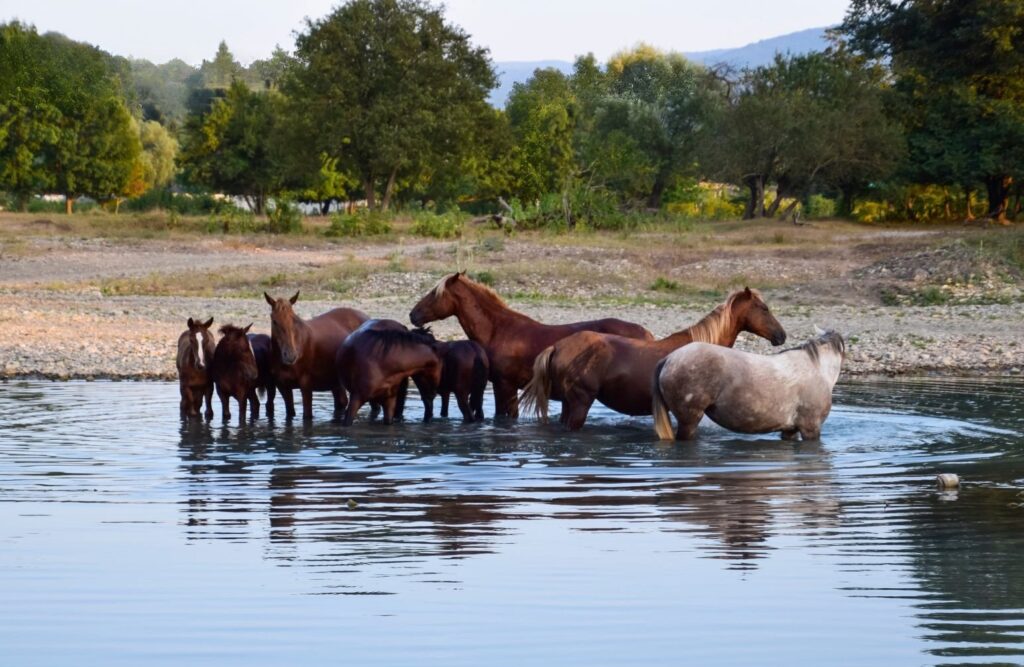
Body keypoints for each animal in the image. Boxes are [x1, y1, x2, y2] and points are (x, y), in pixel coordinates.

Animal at [264, 291, 369, 421]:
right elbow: (290, 414)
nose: (290, 355)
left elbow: (307, 416)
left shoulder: (306, 385)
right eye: (274, 321)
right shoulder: (283, 387)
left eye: (294, 320)